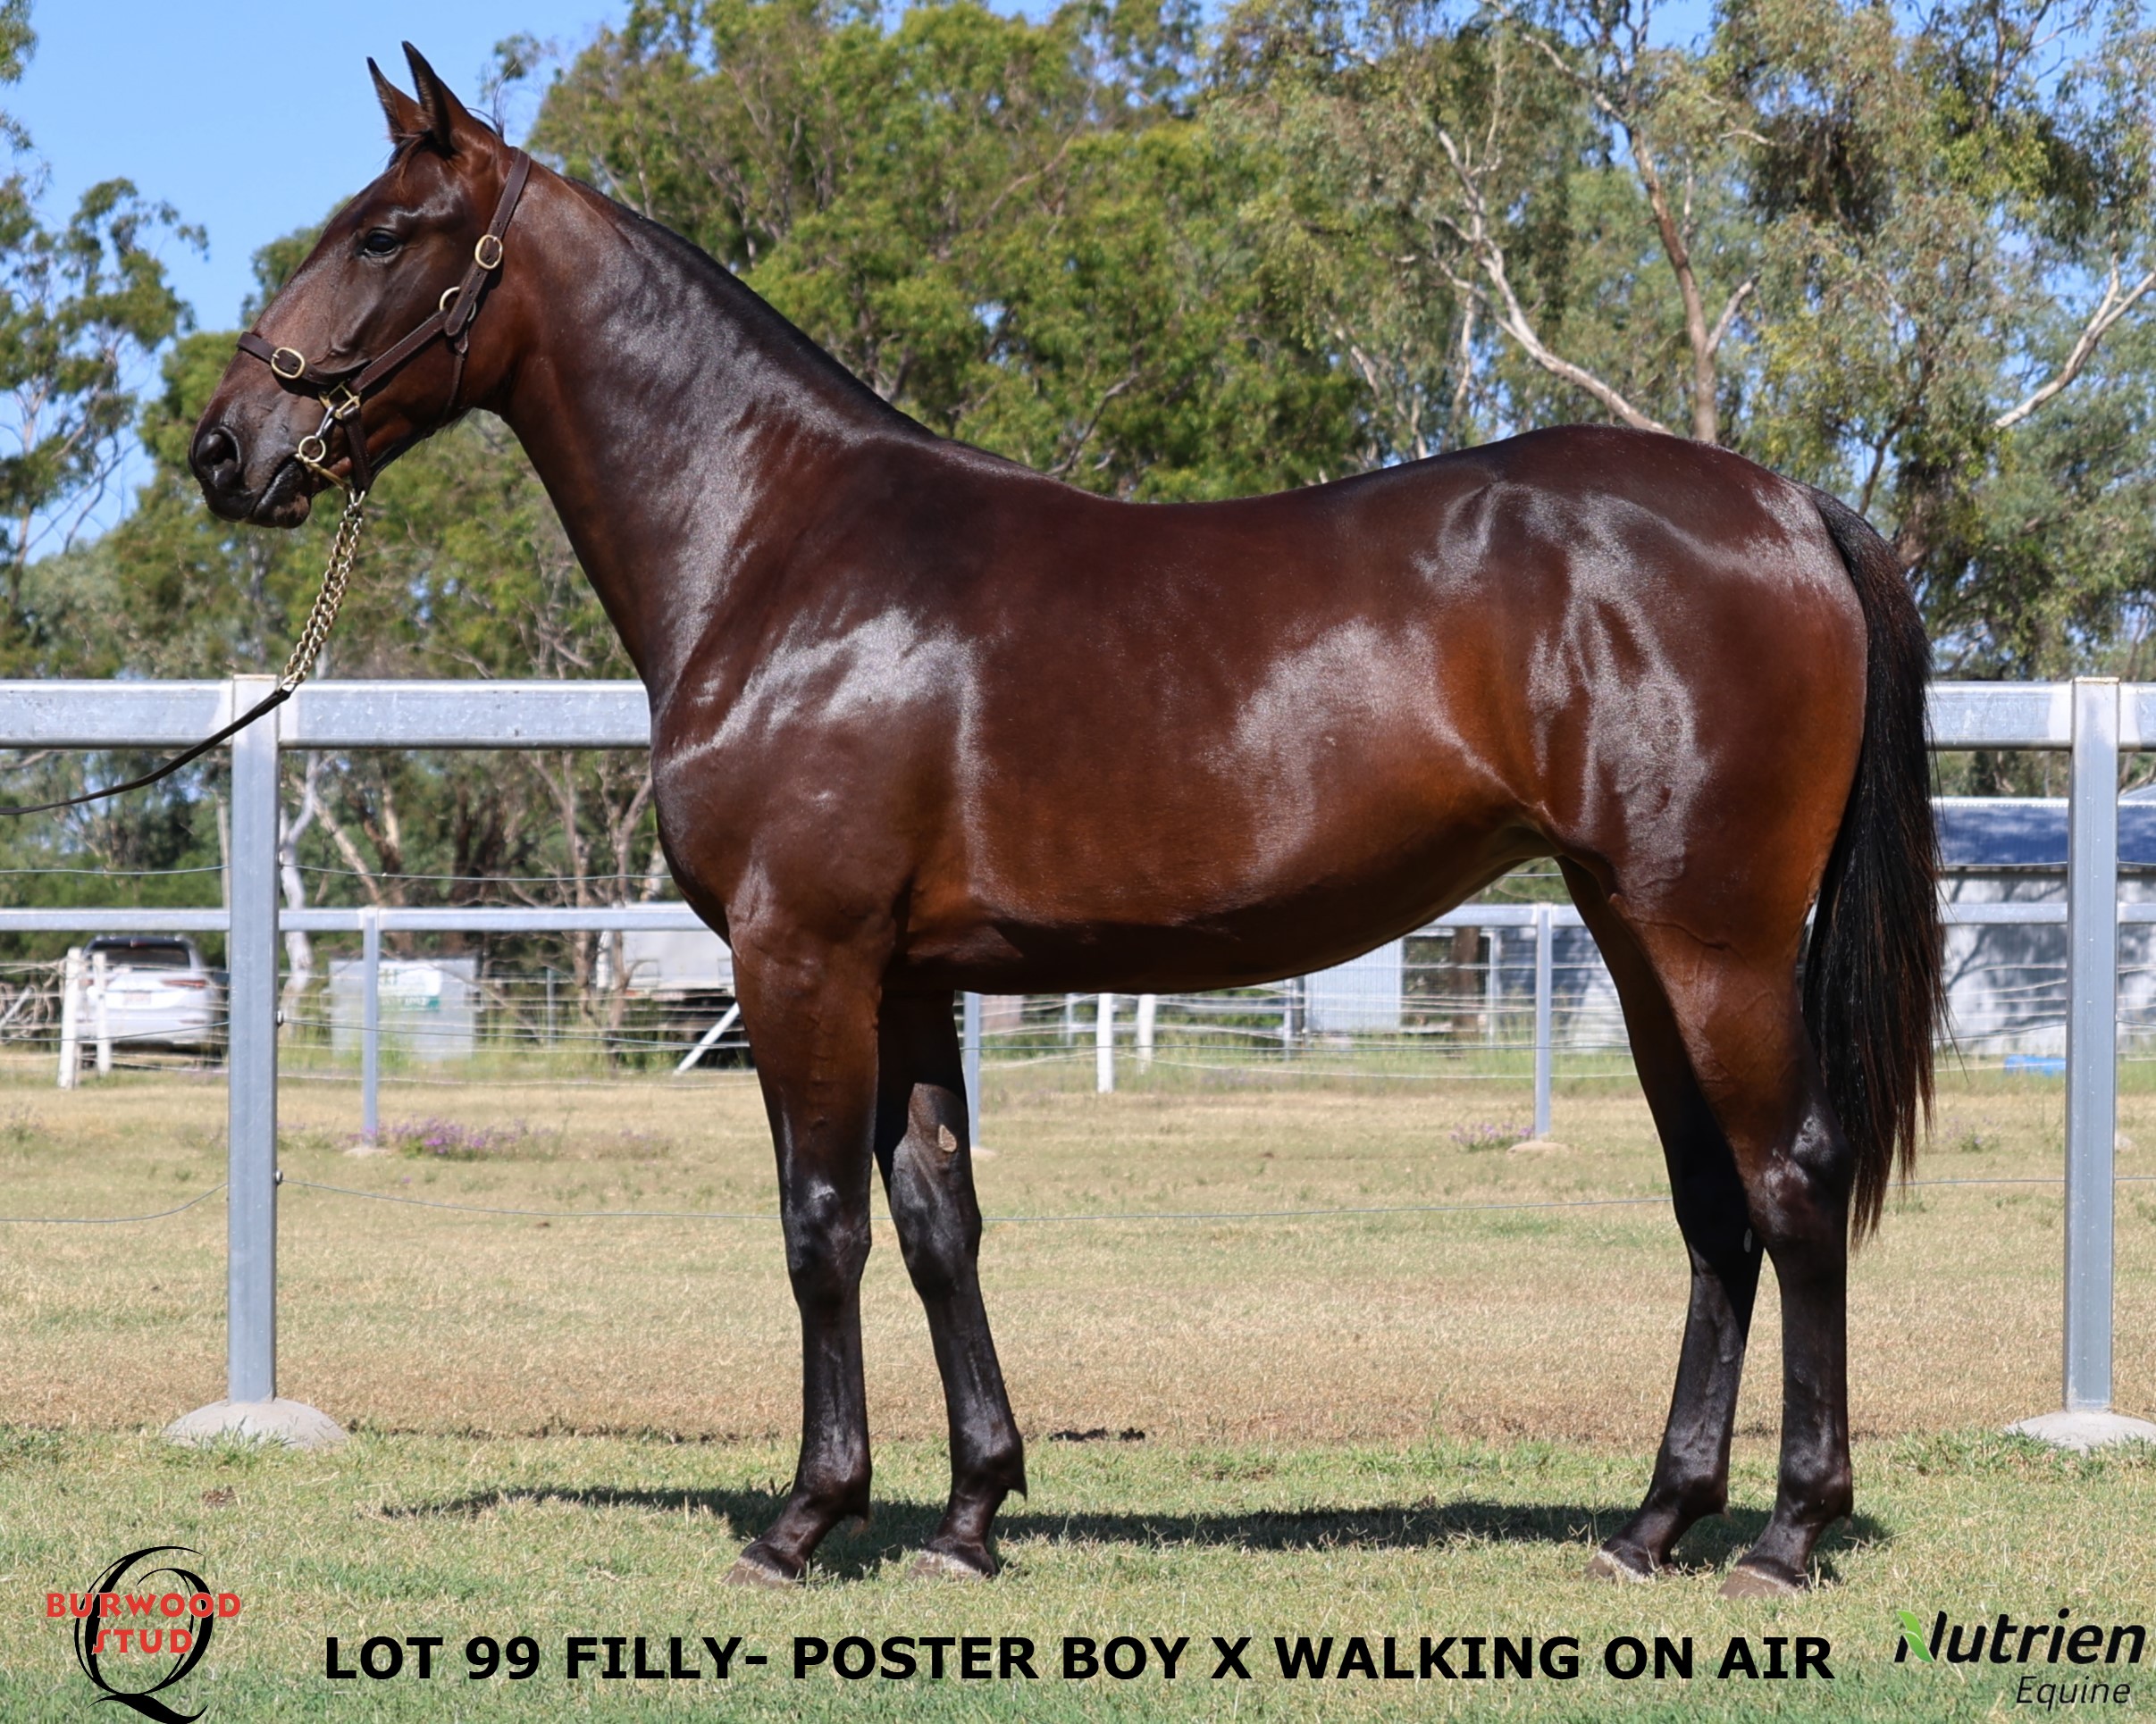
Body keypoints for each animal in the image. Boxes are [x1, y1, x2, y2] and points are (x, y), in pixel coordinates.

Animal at [190, 45, 1943, 1598]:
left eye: (384, 233)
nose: (223, 449)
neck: (777, 548)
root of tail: (1791, 506)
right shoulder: (904, 976)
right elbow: (935, 1221)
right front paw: (971, 1515)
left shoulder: (799, 957)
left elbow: (818, 1226)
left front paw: (804, 1521)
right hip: (1632, 938)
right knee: (1712, 1204)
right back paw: (1654, 1523)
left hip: (1712, 939)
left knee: (1789, 1182)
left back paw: (1786, 1534)